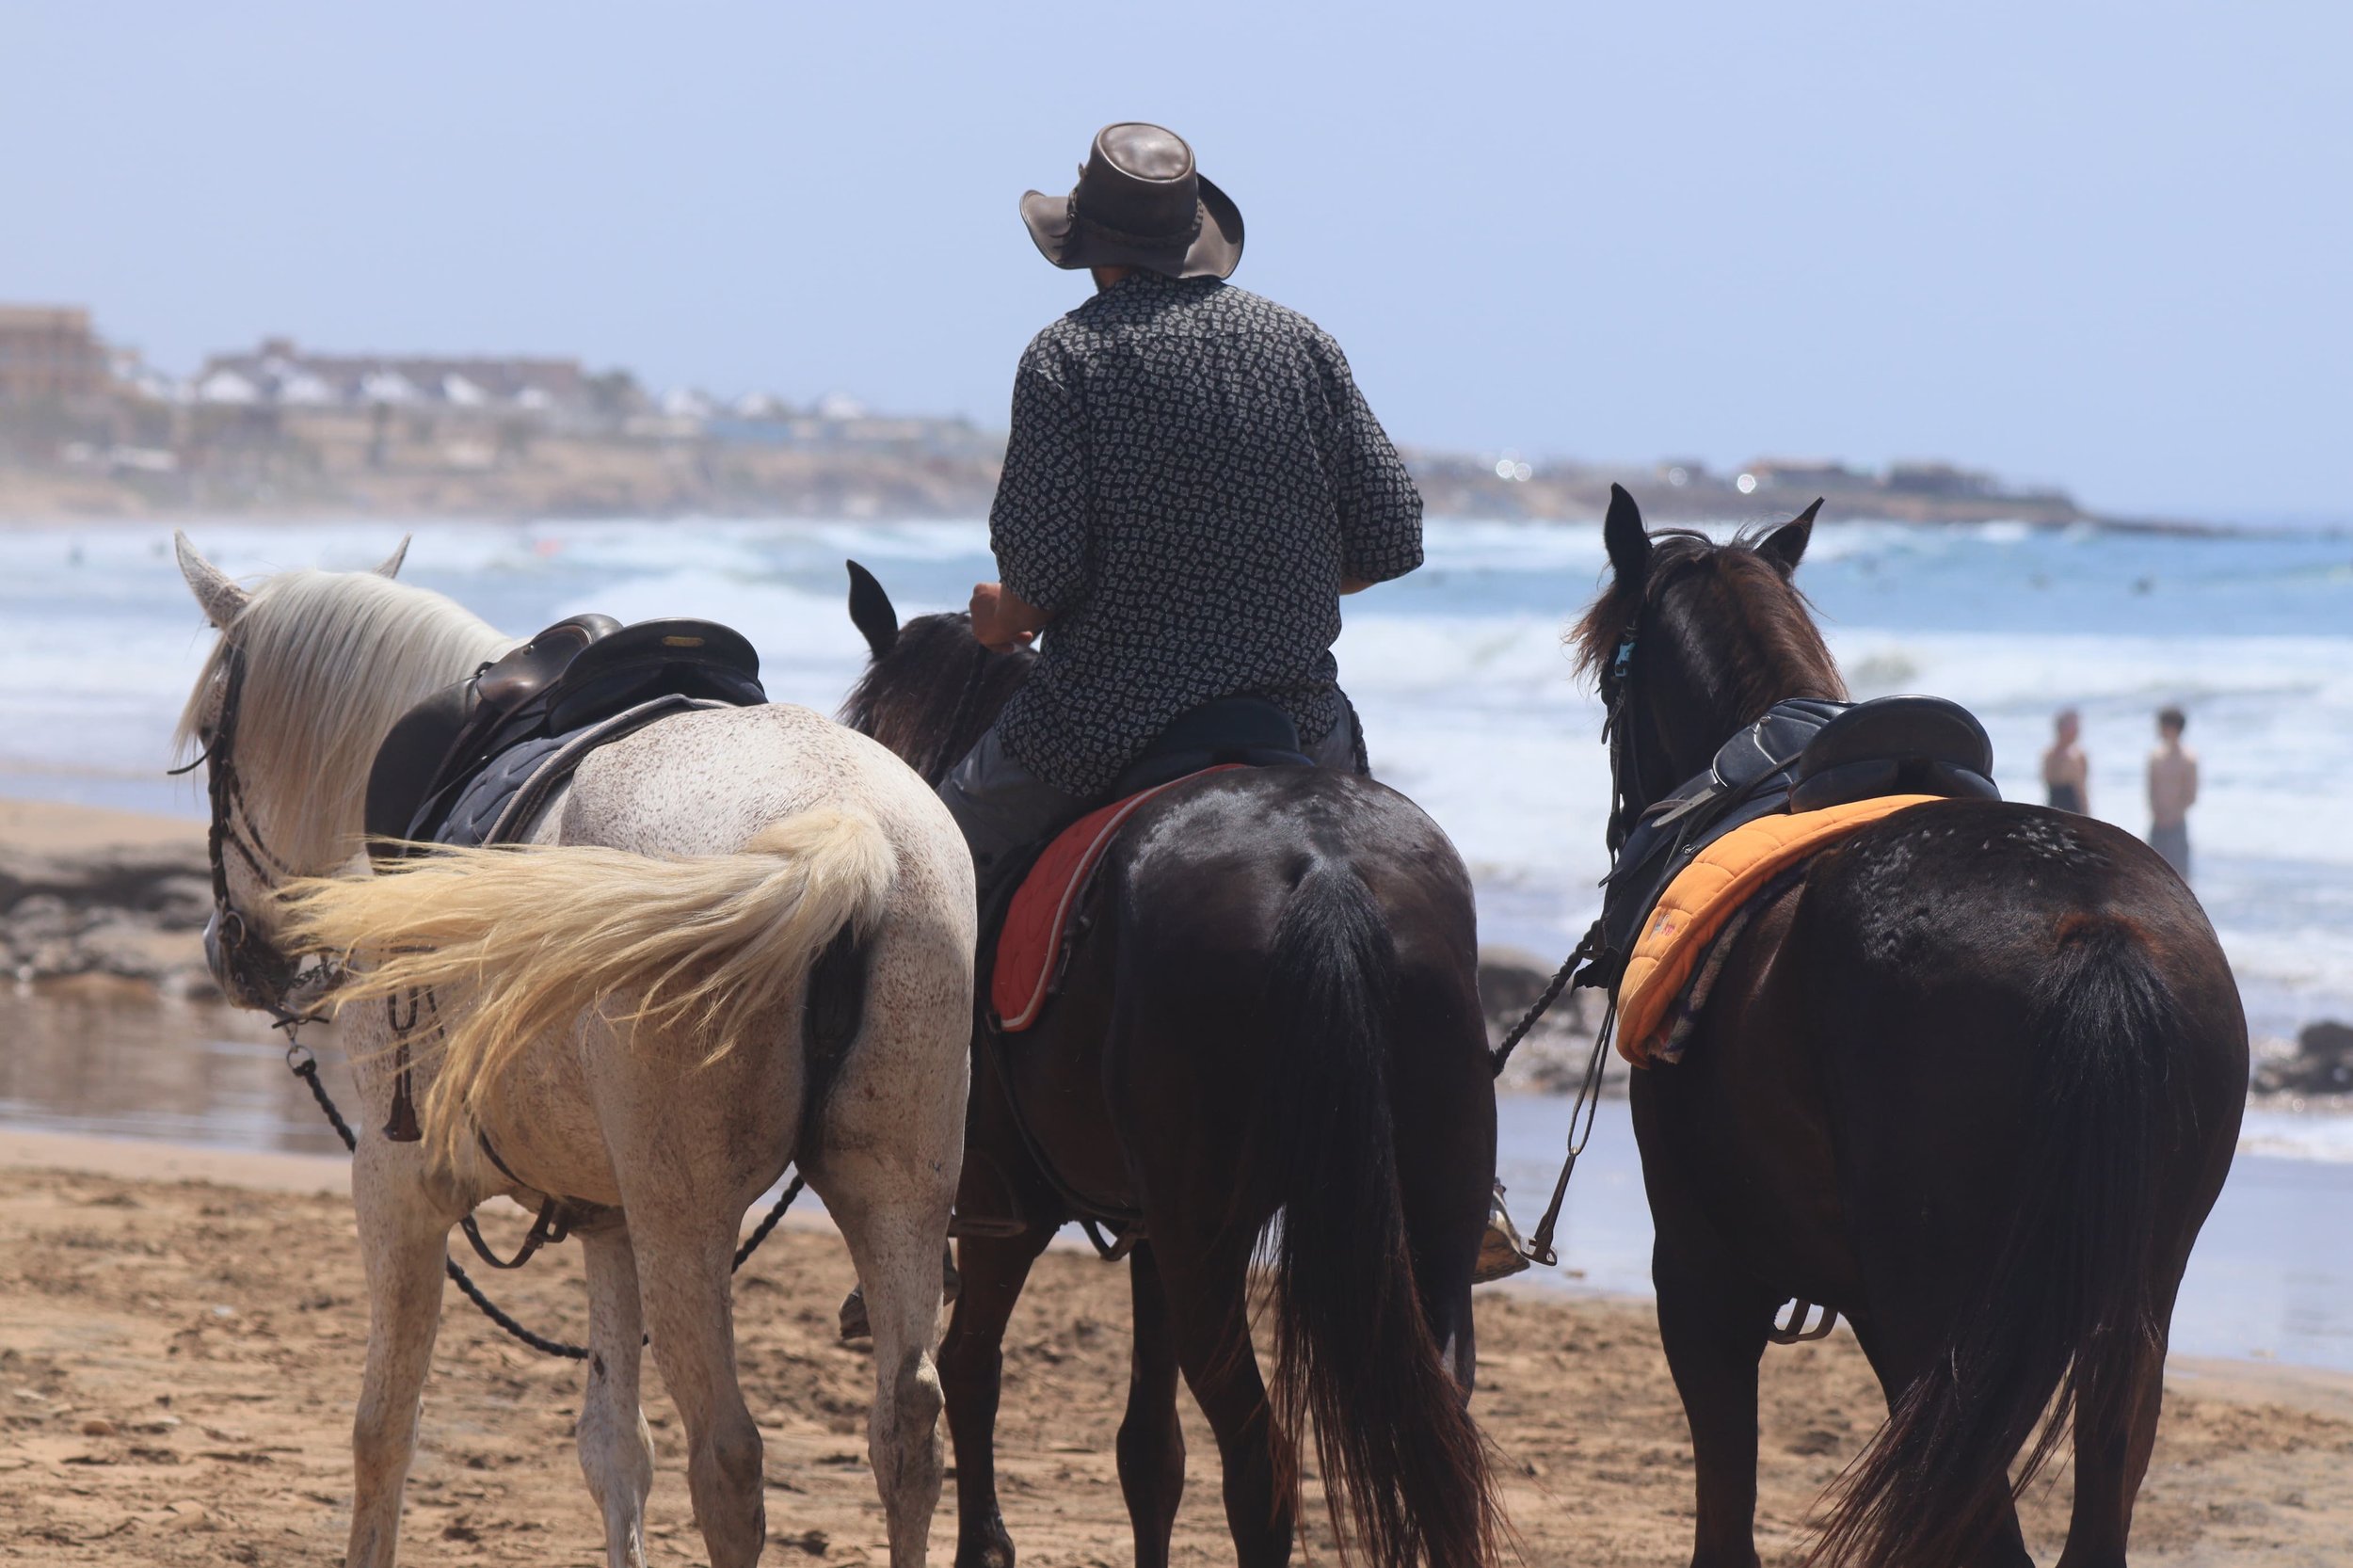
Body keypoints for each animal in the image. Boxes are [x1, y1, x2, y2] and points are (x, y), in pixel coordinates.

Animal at [171, 535, 975, 1568]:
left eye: (209, 736)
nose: (225, 949)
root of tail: (845, 833)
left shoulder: (397, 1188)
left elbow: (383, 1427)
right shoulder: (609, 1216)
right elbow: (614, 1449)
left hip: (689, 1218)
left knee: (729, 1456)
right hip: (896, 1187)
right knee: (906, 1430)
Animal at [836, 565, 1503, 1568]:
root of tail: (1323, 868)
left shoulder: (1005, 1211)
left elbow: (970, 1370)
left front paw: (984, 1544)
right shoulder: (1148, 1224)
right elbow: (1149, 1450)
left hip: (1205, 1244)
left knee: (1263, 1467)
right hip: (1423, 1226)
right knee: (1437, 1442)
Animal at [1571, 488, 2246, 1567]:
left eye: (1610, 681)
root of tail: (2093, 924)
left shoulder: (1700, 1275)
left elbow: (1724, 1509)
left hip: (1930, 1324)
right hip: (2122, 1316)